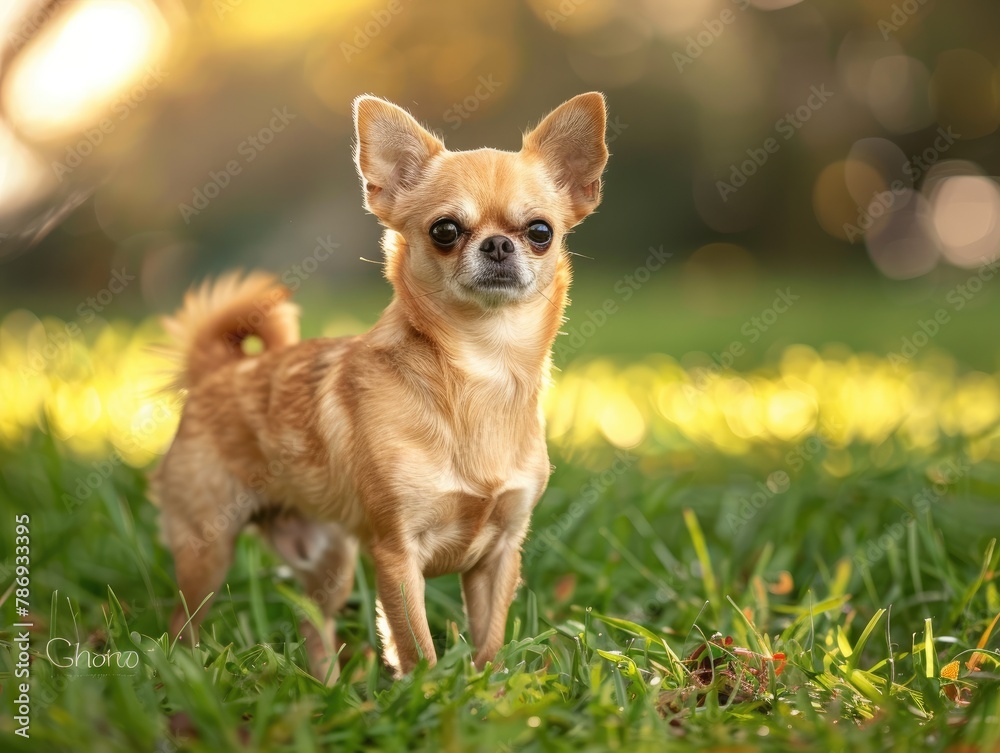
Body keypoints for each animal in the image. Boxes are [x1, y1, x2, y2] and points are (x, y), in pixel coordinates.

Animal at [154, 91, 608, 680]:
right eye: (445, 231)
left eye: (539, 232)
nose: (498, 245)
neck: (479, 369)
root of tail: (218, 371)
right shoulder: (396, 555)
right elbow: (418, 648)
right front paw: (434, 693)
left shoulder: (501, 554)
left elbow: (488, 643)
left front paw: (487, 691)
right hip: (206, 554)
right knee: (181, 626)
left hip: (330, 558)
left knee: (313, 624)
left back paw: (328, 686)